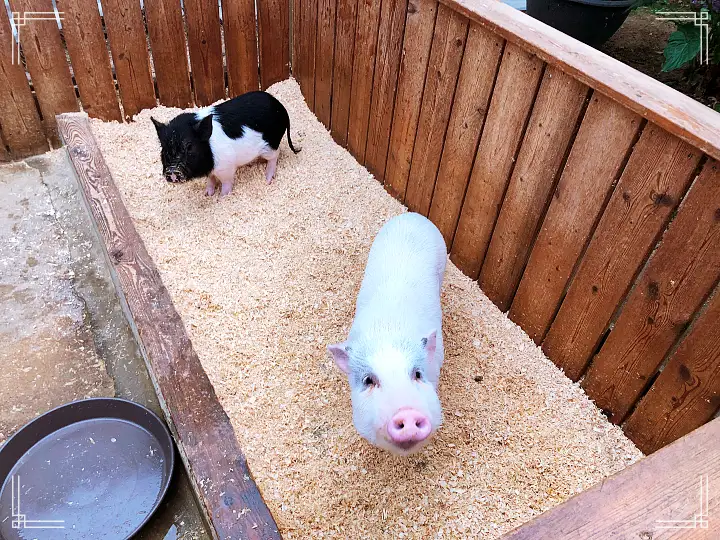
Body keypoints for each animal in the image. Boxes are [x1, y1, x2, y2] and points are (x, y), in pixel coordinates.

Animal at [150, 90, 300, 196]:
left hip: (269, 145)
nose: (172, 170)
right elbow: (210, 179)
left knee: (275, 155)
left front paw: (222, 197)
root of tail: (281, 108)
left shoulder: (226, 168)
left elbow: (226, 184)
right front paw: (207, 194)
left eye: (189, 146)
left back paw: (267, 179)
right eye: (164, 148)